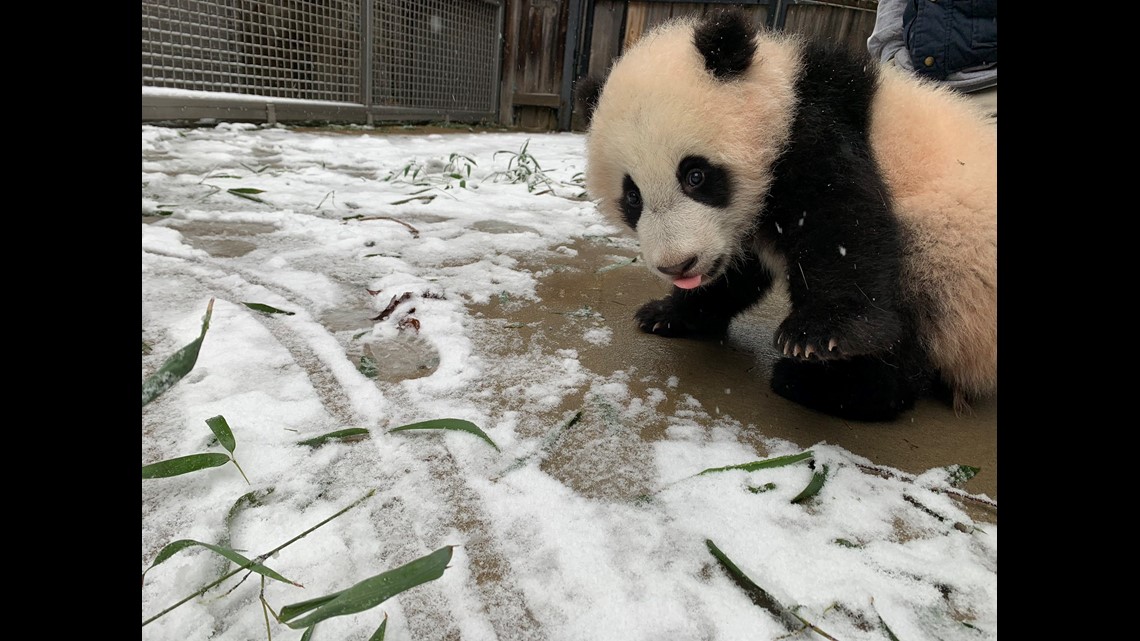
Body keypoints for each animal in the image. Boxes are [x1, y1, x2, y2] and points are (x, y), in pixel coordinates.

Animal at [574, 9, 994, 422]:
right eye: (632, 197)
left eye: (695, 175)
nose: (679, 265)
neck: (781, 93)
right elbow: (737, 272)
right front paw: (670, 313)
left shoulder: (815, 130)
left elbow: (840, 222)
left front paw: (816, 335)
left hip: (950, 251)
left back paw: (832, 385)